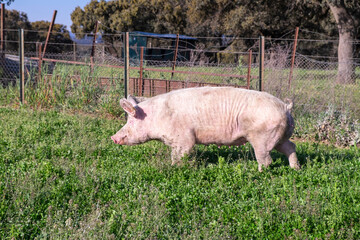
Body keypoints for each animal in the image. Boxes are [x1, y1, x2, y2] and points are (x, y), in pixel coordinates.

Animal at [112, 87, 300, 172]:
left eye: (131, 121)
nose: (113, 138)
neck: (157, 117)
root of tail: (286, 107)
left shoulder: (183, 139)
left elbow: (180, 154)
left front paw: (175, 168)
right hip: (280, 136)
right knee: (291, 147)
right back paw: (295, 169)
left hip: (262, 137)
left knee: (266, 159)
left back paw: (258, 173)